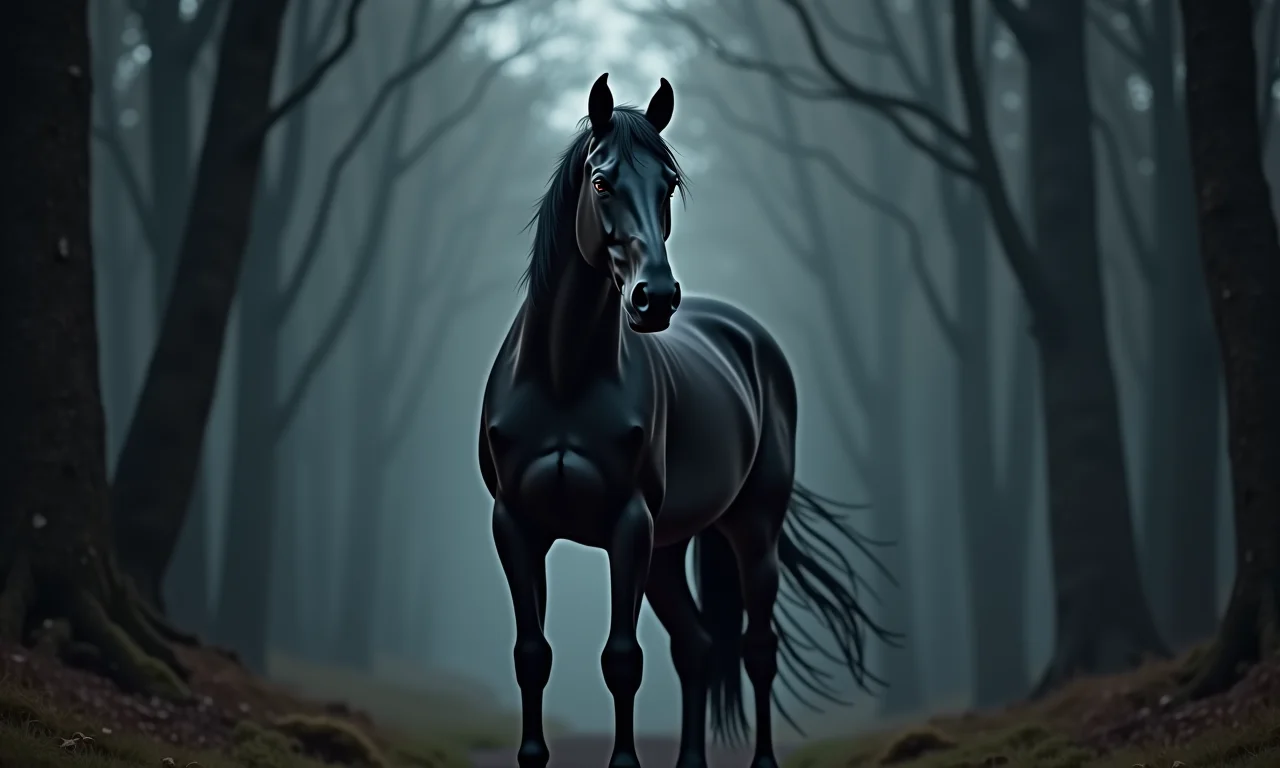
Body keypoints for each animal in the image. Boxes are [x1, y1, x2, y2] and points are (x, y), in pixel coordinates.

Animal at [478, 74, 892, 768]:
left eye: (668, 185)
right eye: (601, 182)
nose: (656, 299)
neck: (562, 376)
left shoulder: (628, 523)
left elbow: (622, 659)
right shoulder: (517, 524)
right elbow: (531, 655)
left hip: (750, 530)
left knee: (757, 648)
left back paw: (763, 760)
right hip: (668, 550)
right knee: (696, 645)